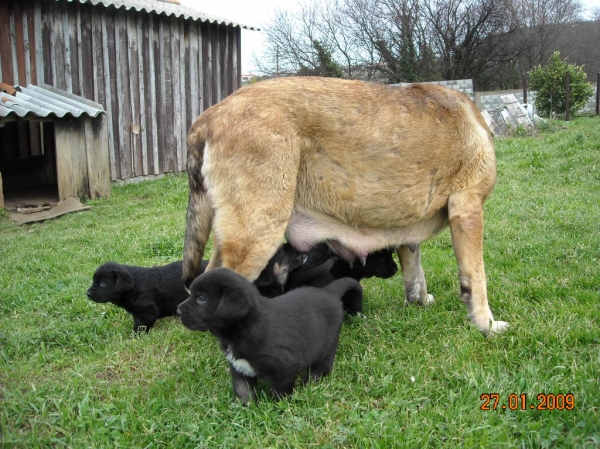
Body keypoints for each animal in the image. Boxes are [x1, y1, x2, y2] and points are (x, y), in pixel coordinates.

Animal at [176, 266, 364, 402]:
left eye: (201, 298)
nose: (178, 311)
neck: (244, 328)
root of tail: (329, 293)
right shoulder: (239, 367)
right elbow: (242, 390)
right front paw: (248, 408)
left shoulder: (282, 369)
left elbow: (280, 394)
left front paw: (279, 408)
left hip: (327, 346)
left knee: (321, 368)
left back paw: (308, 385)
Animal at [183, 76, 506, 332]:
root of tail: (208, 116)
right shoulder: (467, 209)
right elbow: (476, 277)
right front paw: (486, 324)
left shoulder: (408, 230)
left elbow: (415, 272)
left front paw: (420, 300)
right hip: (258, 234)